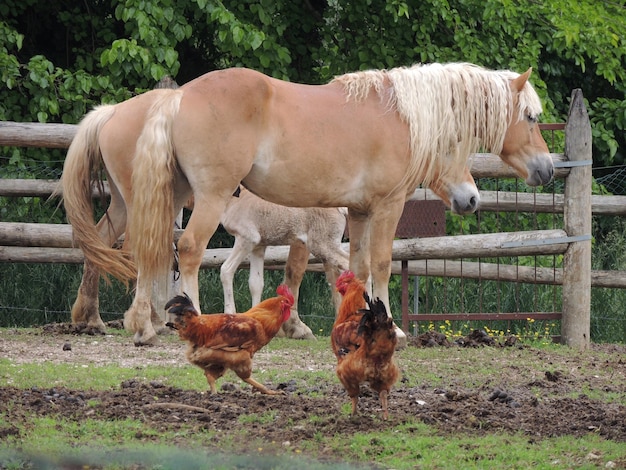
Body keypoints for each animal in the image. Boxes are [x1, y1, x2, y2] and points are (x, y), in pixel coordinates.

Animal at [62, 61, 552, 346]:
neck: (401, 116)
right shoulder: (387, 207)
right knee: (187, 250)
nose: (547, 169)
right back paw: (185, 319)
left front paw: (360, 322)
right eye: (530, 117)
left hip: (156, 197)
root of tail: (179, 96)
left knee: (126, 248)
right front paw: (392, 327)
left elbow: (356, 268)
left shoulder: (359, 212)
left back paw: (120, 320)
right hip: (205, 197)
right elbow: (380, 264)